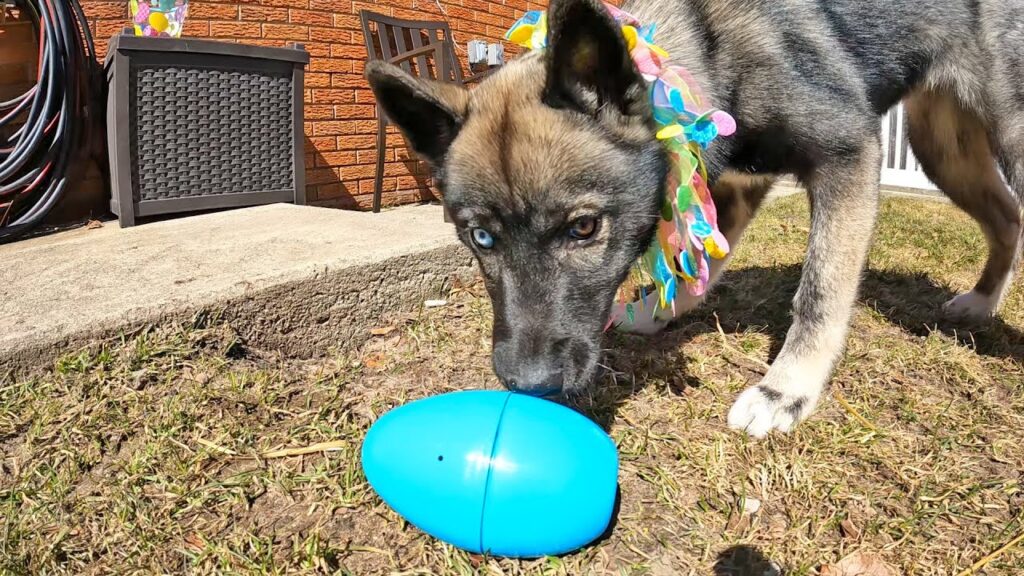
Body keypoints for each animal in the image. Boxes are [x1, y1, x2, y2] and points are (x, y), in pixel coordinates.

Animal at [368, 0, 1024, 434]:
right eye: (480, 237)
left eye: (583, 228)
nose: (529, 385)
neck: (706, 53)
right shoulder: (732, 187)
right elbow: (696, 263)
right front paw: (660, 311)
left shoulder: (849, 156)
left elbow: (820, 289)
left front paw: (786, 389)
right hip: (943, 149)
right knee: (1008, 219)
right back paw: (982, 302)